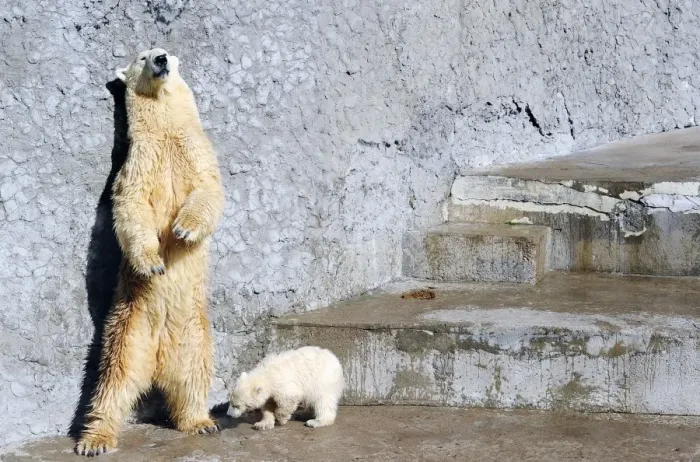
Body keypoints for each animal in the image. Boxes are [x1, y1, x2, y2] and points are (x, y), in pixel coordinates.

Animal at [75, 47, 225, 456]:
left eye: (166, 51)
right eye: (143, 56)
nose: (160, 59)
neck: (166, 131)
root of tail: (158, 359)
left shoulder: (196, 151)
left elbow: (208, 190)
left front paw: (183, 230)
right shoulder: (137, 161)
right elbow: (132, 205)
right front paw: (154, 263)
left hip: (193, 333)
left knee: (193, 376)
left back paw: (201, 421)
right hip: (129, 329)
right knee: (114, 382)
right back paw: (94, 440)